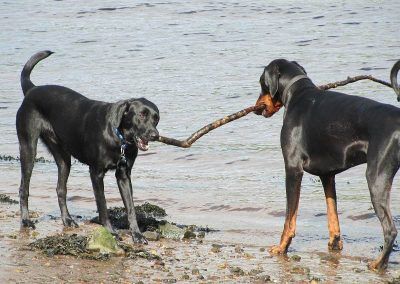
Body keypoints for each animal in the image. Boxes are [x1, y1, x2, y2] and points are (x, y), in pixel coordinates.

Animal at [16, 50, 159, 242]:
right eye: (142, 115)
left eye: (156, 118)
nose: (155, 135)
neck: (118, 136)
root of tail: (32, 89)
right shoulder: (96, 173)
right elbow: (103, 205)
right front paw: (111, 232)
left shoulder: (124, 175)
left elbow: (131, 208)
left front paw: (136, 234)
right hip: (28, 148)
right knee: (23, 188)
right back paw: (26, 221)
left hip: (64, 159)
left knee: (60, 189)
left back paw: (67, 220)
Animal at [255, 58, 400, 270]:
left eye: (261, 83)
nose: (256, 108)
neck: (297, 93)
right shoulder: (327, 175)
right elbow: (332, 213)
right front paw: (334, 243)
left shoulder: (293, 169)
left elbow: (289, 218)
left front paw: (281, 247)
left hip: (376, 178)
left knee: (390, 230)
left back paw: (378, 263)